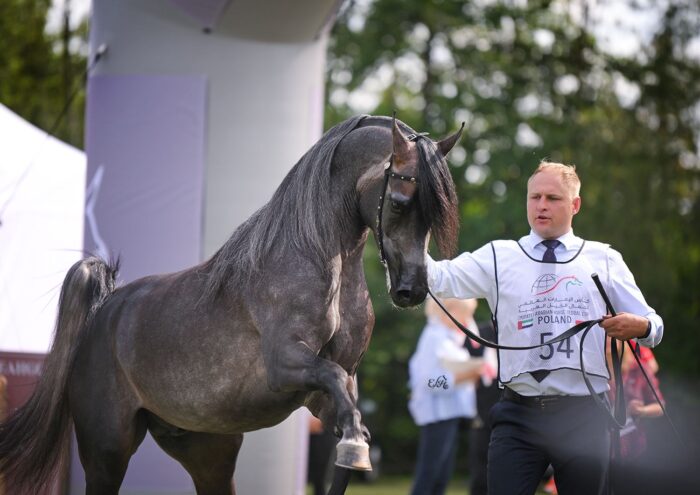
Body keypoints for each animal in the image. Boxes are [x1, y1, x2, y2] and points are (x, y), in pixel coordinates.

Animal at [0, 115, 462, 495]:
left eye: (436, 213)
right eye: (400, 201)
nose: (412, 290)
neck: (314, 259)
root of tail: (104, 312)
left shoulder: (330, 392)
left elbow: (349, 424)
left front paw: (355, 445)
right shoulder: (287, 366)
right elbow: (333, 388)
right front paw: (354, 447)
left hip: (208, 452)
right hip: (106, 452)